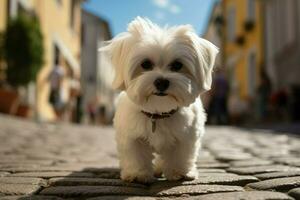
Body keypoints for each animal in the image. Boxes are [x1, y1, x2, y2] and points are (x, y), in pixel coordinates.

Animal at [101, 17, 218, 183]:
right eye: (145, 64)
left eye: (177, 65)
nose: (161, 82)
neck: (158, 113)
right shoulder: (131, 136)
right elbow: (135, 155)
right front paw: (137, 174)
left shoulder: (187, 135)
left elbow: (180, 154)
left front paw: (178, 172)